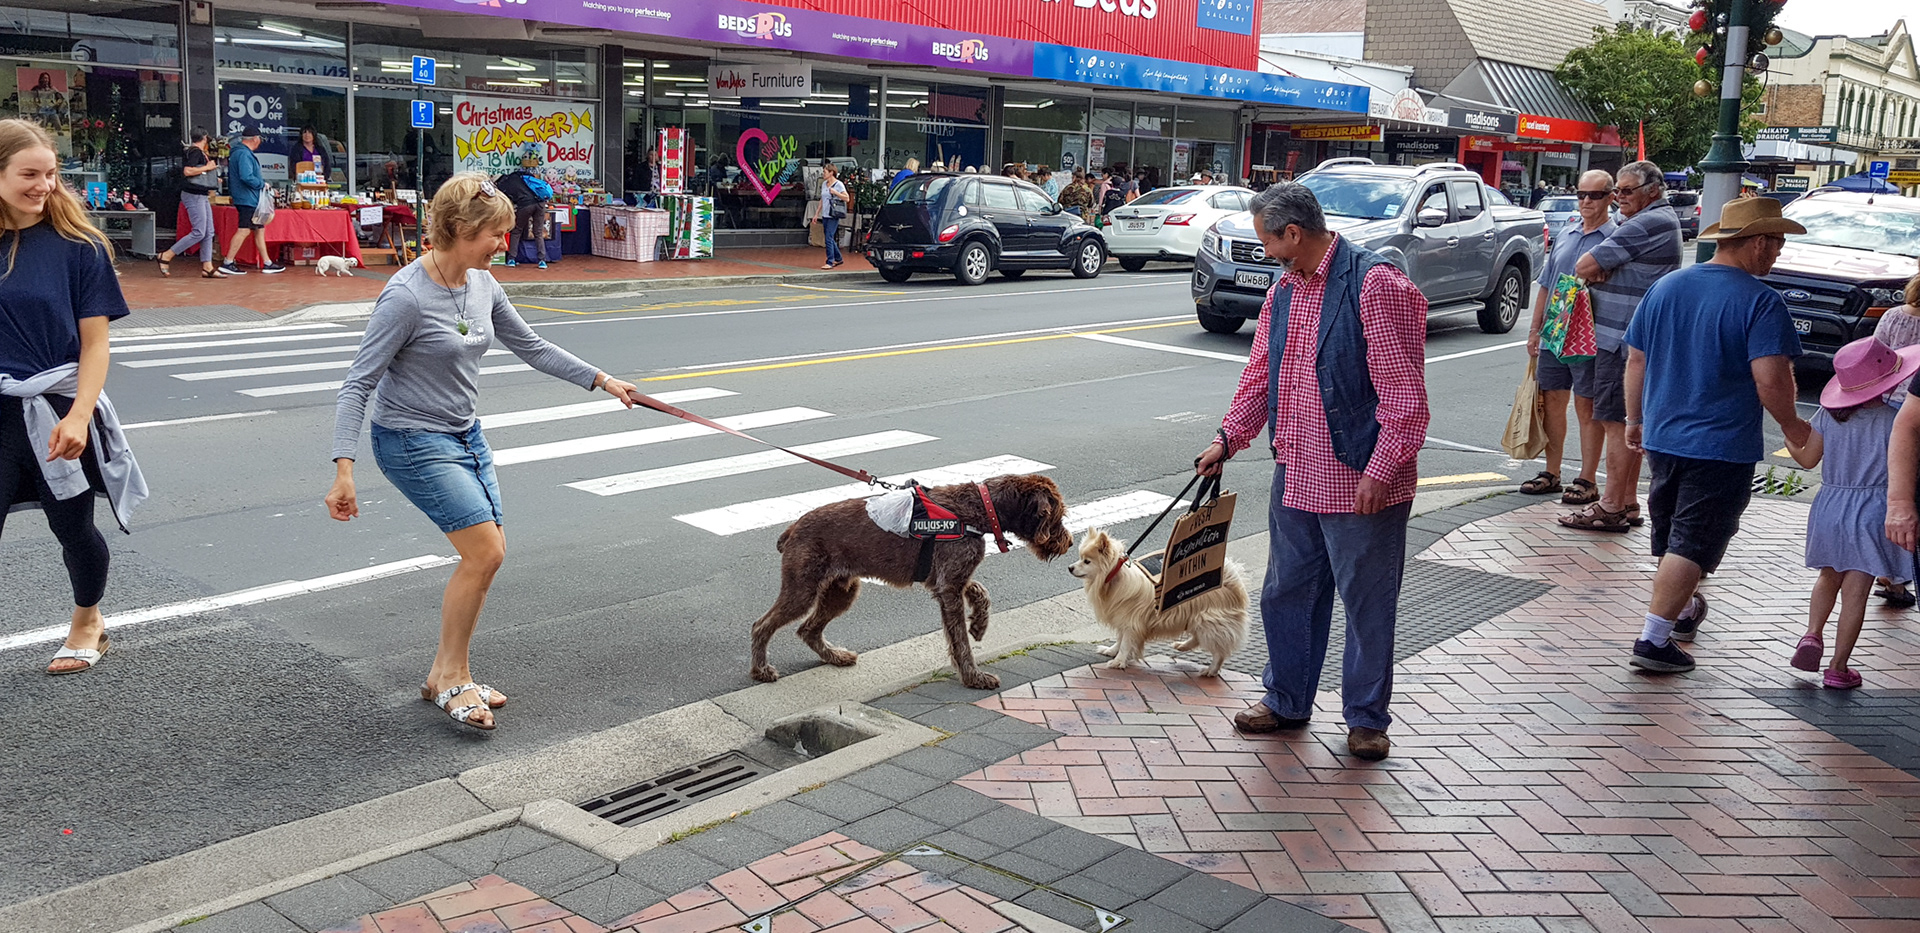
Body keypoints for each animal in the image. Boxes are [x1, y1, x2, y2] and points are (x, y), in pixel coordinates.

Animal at [750, 474, 1073, 690]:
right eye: (1057, 515)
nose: (1069, 542)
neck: (981, 508)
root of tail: (793, 528)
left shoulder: (948, 579)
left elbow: (981, 591)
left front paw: (979, 625)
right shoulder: (949, 586)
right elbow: (961, 642)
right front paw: (973, 676)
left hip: (842, 590)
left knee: (808, 629)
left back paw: (835, 656)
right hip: (802, 590)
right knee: (761, 625)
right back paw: (760, 670)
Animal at [1068, 527, 1249, 677]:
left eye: (1087, 561)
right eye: (1080, 558)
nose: (1070, 568)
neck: (1114, 576)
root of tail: (1230, 584)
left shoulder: (1131, 622)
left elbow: (1125, 643)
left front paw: (1118, 661)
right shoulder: (1122, 618)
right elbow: (1120, 639)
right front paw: (1111, 651)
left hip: (1208, 622)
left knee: (1219, 652)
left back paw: (1210, 670)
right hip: (1198, 621)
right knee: (1198, 638)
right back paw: (1182, 646)